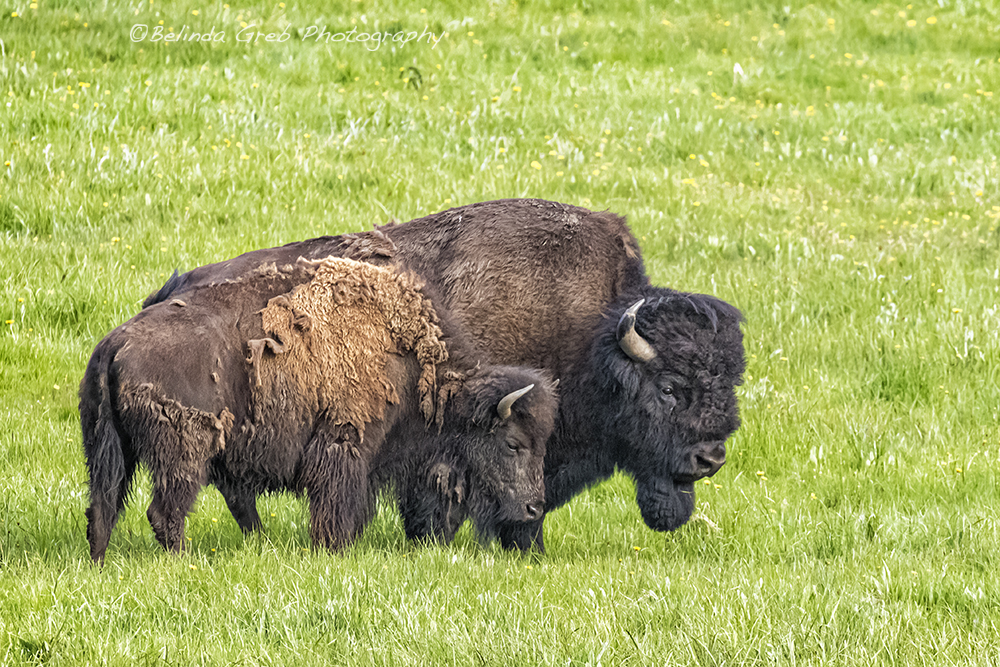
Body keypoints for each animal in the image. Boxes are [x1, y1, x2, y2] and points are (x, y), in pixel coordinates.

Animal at [80, 257, 557, 562]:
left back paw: (101, 561)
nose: (535, 507)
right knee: (165, 511)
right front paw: (333, 548)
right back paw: (183, 561)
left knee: (104, 508)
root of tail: (115, 342)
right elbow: (337, 502)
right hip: (184, 455)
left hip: (110, 450)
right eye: (513, 444)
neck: (411, 363)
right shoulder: (345, 445)